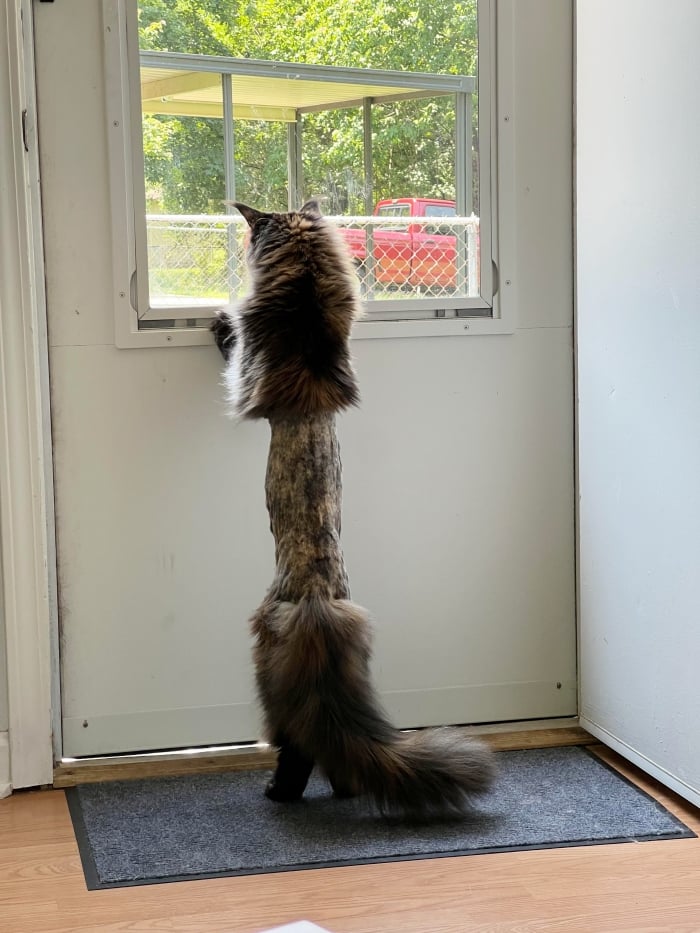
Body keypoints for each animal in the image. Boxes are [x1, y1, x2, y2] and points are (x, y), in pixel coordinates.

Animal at [212, 200, 495, 815]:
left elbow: (233, 358)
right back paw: (340, 790)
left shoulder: (245, 378)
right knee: (334, 756)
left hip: (267, 672)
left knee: (298, 749)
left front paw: (221, 325)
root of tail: (319, 609)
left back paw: (277, 794)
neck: (306, 304)